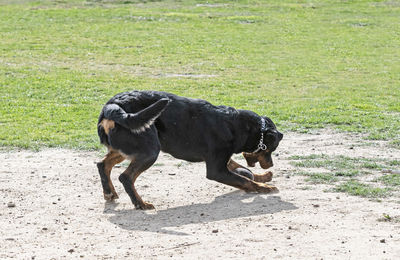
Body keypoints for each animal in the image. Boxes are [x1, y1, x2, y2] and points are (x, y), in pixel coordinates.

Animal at [97, 90, 282, 210]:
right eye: (270, 149)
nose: (271, 164)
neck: (235, 124)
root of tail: (113, 105)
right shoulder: (216, 169)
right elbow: (244, 179)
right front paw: (263, 187)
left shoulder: (223, 160)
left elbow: (240, 169)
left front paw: (263, 177)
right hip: (149, 150)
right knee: (126, 177)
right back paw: (140, 204)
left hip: (126, 148)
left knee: (102, 164)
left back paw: (109, 193)